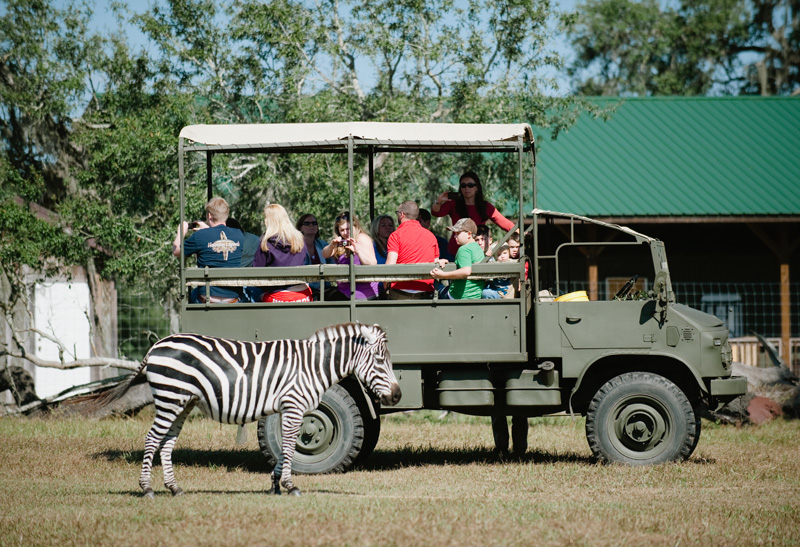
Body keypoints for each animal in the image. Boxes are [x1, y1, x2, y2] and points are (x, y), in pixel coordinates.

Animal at [93, 324, 400, 498]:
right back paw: (147, 489)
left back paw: (174, 488)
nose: (397, 395)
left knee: (166, 444)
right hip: (171, 397)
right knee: (151, 440)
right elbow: (290, 445)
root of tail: (159, 343)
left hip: (182, 402)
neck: (311, 366)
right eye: (380, 360)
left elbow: (285, 446)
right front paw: (289, 485)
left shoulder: (285, 407)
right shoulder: (294, 405)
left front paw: (275, 484)